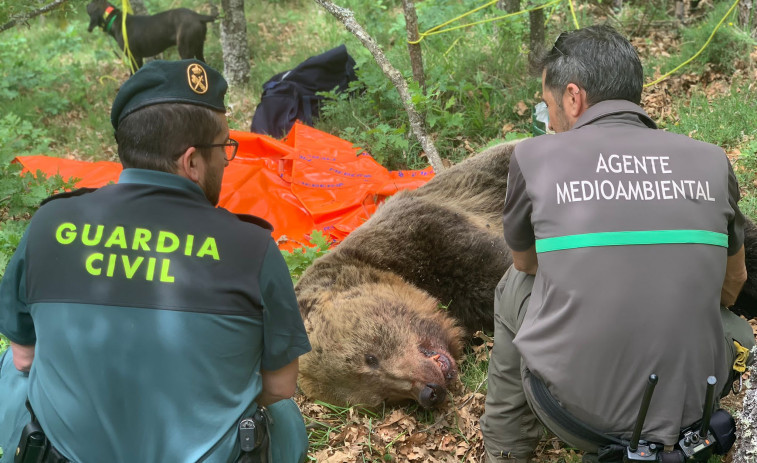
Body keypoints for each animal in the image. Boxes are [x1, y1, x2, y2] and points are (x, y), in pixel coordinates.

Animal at [86, 0, 216, 70]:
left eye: (92, 3)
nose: (86, 4)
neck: (114, 18)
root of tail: (198, 16)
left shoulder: (135, 58)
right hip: (199, 47)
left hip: (186, 50)